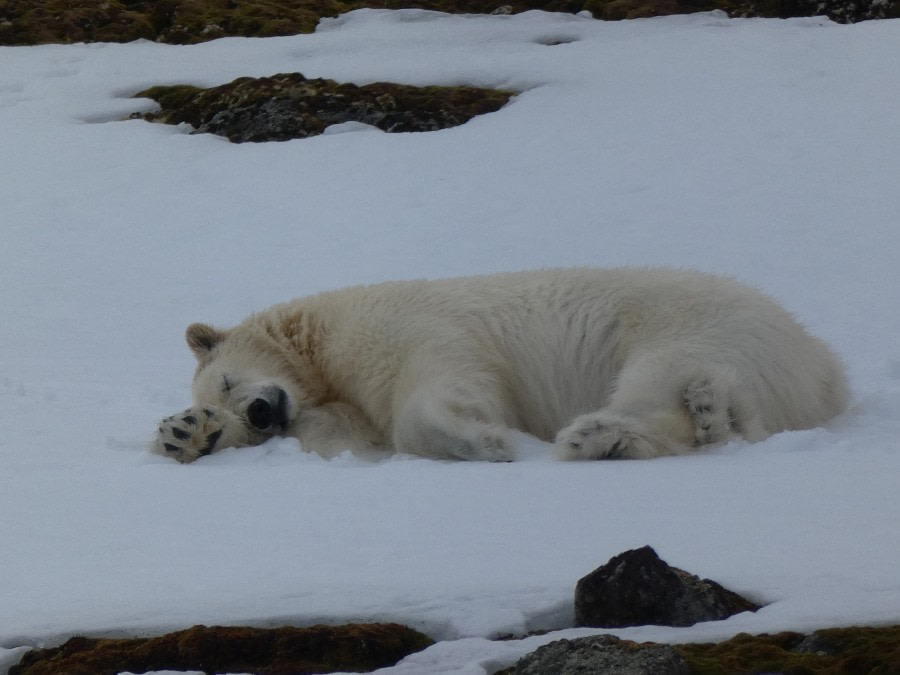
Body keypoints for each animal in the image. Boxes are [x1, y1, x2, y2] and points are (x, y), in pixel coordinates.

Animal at [151, 266, 848, 462]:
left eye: (230, 381)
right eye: (219, 404)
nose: (261, 412)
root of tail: (823, 364)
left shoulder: (399, 327)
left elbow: (440, 381)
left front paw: (483, 439)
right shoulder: (333, 406)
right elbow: (354, 439)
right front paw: (182, 434)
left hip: (691, 324)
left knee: (662, 378)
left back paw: (600, 433)